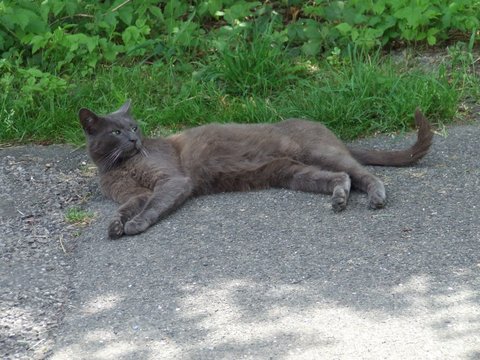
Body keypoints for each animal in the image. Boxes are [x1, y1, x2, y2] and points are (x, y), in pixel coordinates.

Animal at [79, 99, 432, 239]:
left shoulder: (172, 180)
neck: (120, 166)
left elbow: (153, 205)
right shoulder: (132, 194)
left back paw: (375, 198)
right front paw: (115, 226)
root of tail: (333, 134)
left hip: (320, 152)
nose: (134, 139)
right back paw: (339, 199)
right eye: (116, 132)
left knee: (364, 173)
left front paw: (135, 225)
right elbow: (126, 207)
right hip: (291, 172)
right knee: (342, 177)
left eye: (134, 127)